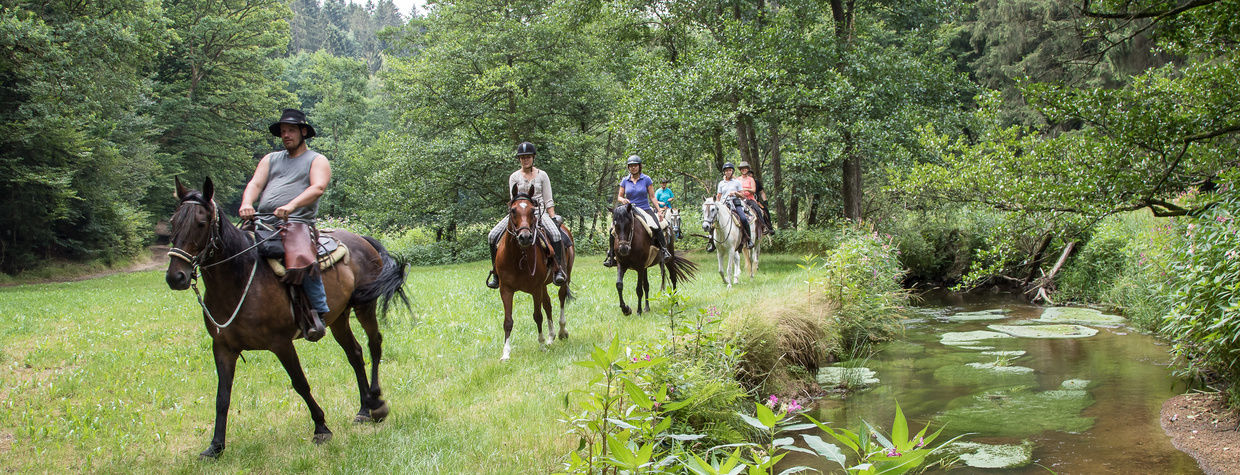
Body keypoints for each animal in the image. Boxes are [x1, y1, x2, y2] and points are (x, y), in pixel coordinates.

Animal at [162, 177, 406, 456]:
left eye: (201, 223)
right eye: (173, 222)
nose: (176, 277)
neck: (240, 279)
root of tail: (361, 239)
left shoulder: (281, 343)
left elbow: (300, 383)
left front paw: (321, 427)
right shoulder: (223, 347)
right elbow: (222, 396)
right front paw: (215, 446)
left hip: (365, 305)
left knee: (374, 344)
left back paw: (376, 402)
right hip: (338, 317)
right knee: (354, 354)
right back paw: (364, 408)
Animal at [493, 183, 575, 362]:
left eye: (532, 210)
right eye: (513, 210)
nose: (525, 237)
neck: (518, 257)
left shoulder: (535, 289)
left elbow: (537, 316)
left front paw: (542, 345)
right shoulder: (506, 289)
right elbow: (508, 321)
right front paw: (505, 353)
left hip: (564, 277)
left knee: (561, 298)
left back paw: (561, 331)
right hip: (543, 285)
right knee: (548, 304)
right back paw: (551, 336)